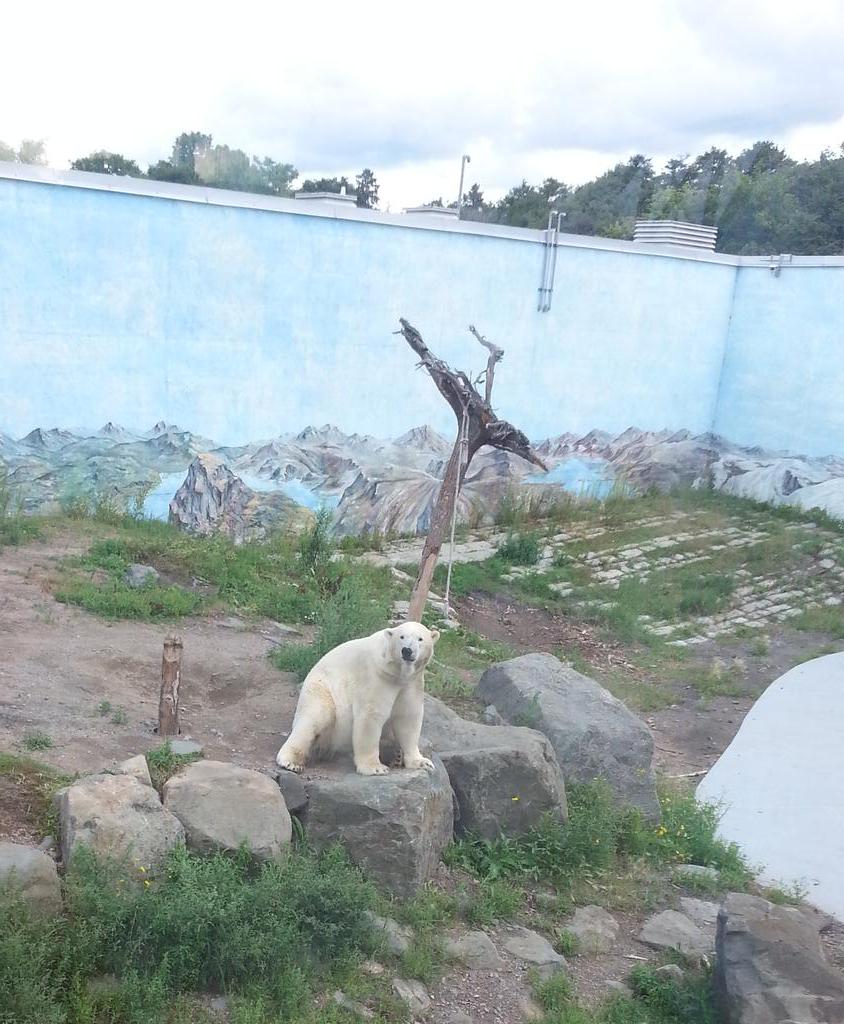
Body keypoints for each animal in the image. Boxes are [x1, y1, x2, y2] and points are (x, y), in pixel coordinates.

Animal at [274, 622, 438, 774]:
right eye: (402, 637)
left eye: (420, 639)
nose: (407, 650)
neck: (397, 673)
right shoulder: (376, 678)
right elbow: (370, 718)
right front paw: (375, 768)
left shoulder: (412, 683)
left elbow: (408, 719)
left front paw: (422, 762)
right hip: (321, 691)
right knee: (314, 719)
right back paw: (291, 762)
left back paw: (395, 756)